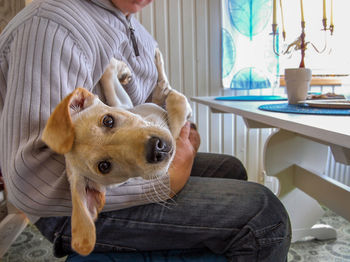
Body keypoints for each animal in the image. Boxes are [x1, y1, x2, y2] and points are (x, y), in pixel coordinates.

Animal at [42, 49, 193, 256]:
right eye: (104, 166)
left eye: (108, 120)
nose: (157, 148)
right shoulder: (174, 138)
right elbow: (178, 105)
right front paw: (173, 99)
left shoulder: (124, 105)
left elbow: (110, 82)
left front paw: (119, 68)